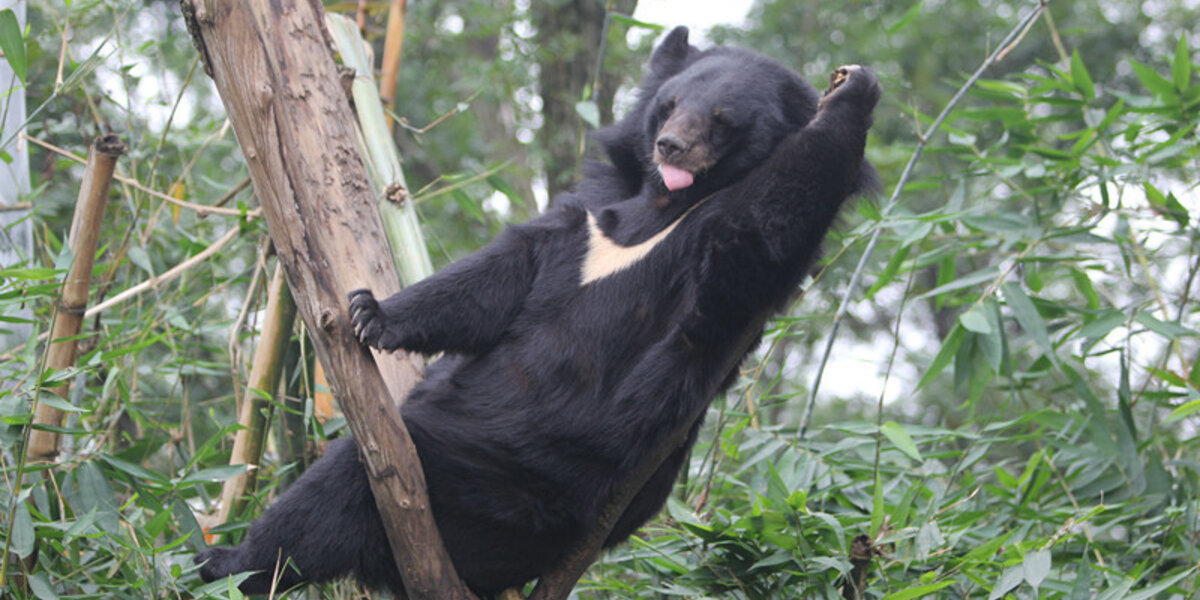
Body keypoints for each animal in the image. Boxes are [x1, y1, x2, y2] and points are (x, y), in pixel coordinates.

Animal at [199, 27, 883, 595]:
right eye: (669, 106)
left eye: (722, 120)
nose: (671, 147)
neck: (660, 208)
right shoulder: (590, 214)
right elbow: (504, 272)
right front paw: (371, 314)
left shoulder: (720, 261)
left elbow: (764, 224)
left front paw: (857, 88)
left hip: (507, 485)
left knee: (338, 487)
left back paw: (227, 563)